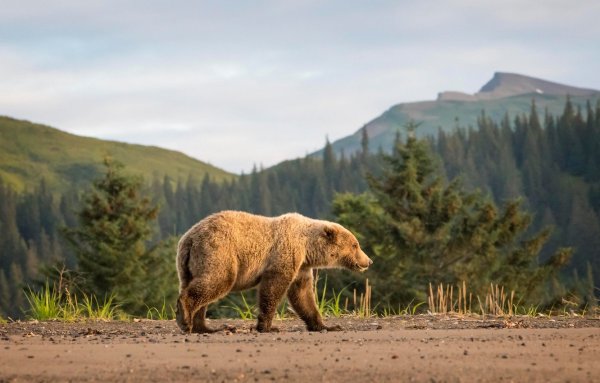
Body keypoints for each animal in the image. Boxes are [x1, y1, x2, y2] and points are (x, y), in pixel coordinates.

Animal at [173, 212, 370, 334]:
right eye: (355, 245)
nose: (368, 261)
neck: (307, 248)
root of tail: (189, 238)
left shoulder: (301, 267)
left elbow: (303, 296)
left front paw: (327, 326)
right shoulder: (285, 255)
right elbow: (273, 287)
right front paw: (267, 326)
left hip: (188, 264)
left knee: (198, 288)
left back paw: (205, 327)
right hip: (219, 251)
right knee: (216, 281)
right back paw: (185, 318)